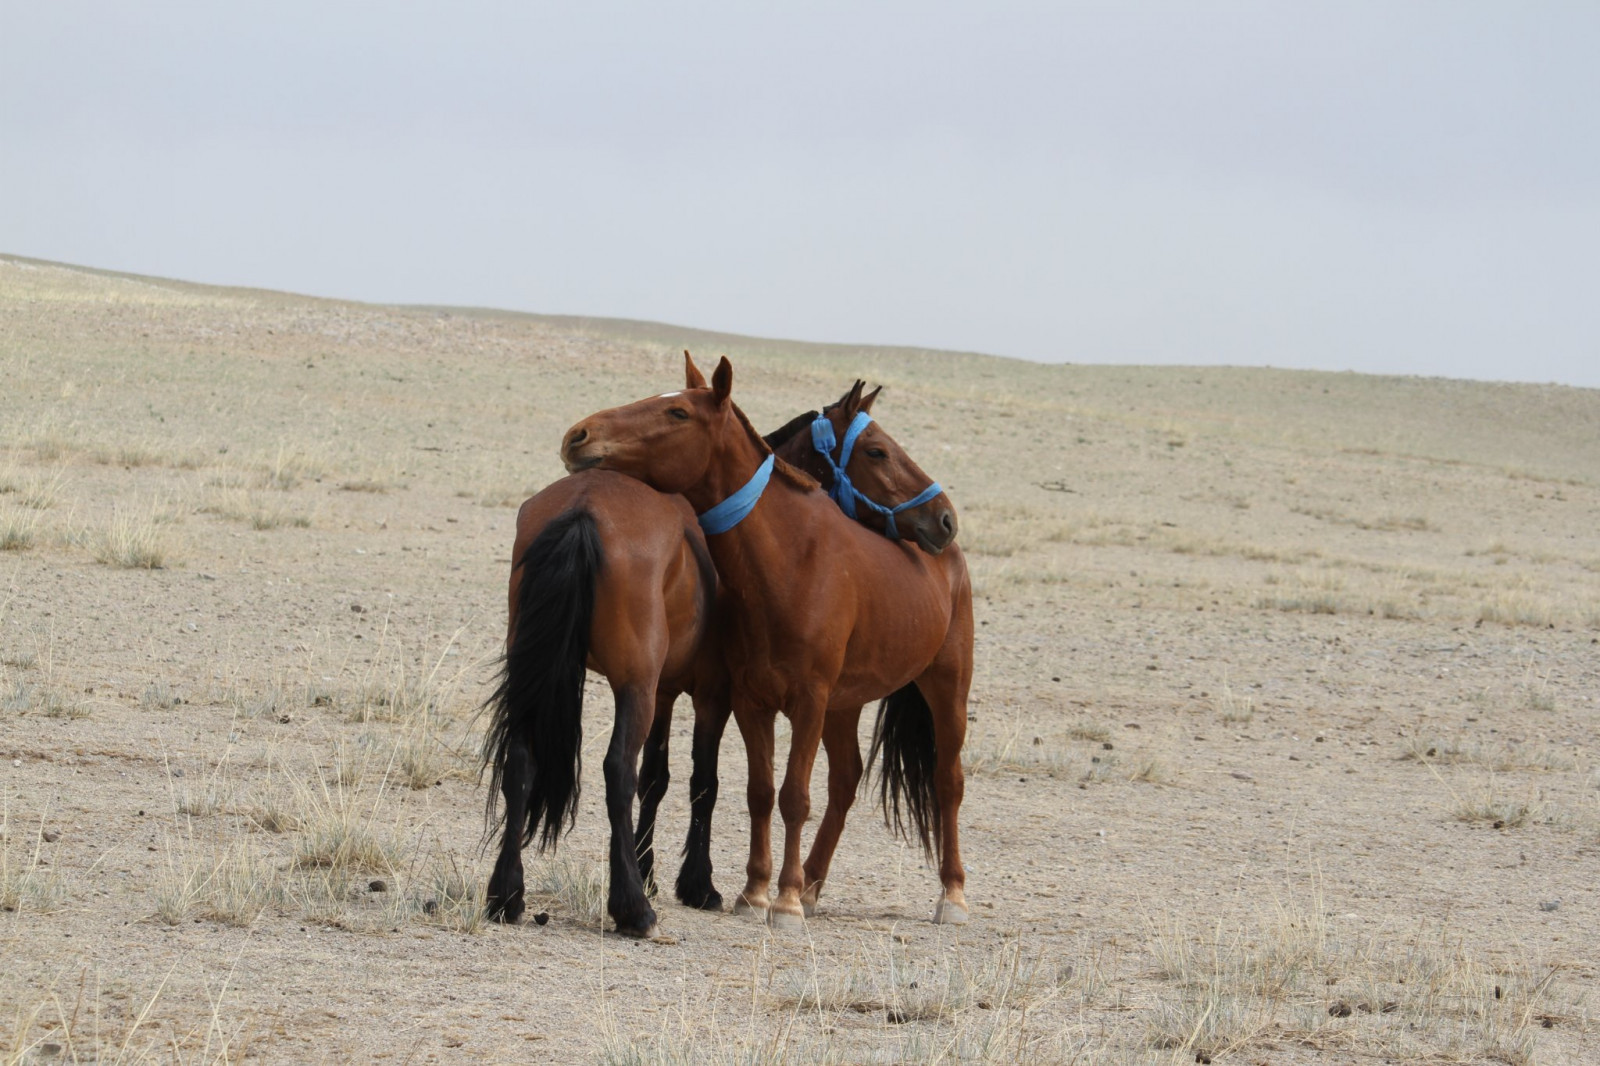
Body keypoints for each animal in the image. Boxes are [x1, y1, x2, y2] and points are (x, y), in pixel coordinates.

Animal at [473, 361, 947, 934]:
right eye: (878, 450)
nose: (944, 518)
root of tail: (584, 506)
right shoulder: (713, 693)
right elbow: (703, 780)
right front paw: (696, 884)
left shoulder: (668, 688)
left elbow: (658, 777)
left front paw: (652, 869)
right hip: (632, 685)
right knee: (616, 771)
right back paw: (634, 909)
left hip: (544, 671)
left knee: (522, 761)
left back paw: (507, 894)